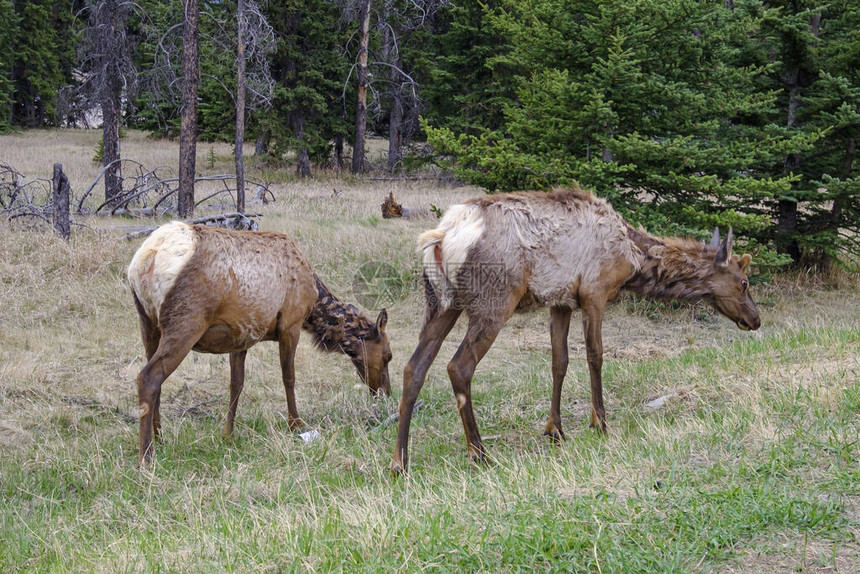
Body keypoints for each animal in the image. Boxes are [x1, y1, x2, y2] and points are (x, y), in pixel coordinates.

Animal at [128, 223, 394, 470]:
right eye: (389, 356)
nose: (386, 394)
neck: (314, 300)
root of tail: (145, 259)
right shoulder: (291, 323)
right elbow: (289, 377)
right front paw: (296, 424)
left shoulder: (241, 335)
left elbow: (236, 384)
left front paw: (228, 433)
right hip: (186, 320)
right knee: (148, 377)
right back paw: (146, 456)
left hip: (147, 323)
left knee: (156, 380)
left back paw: (160, 437)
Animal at [390, 187, 760, 474]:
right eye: (744, 282)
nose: (755, 319)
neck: (635, 259)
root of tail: (440, 237)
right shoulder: (594, 292)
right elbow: (595, 355)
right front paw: (600, 422)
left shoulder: (561, 302)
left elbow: (560, 361)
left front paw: (555, 429)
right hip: (493, 301)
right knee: (458, 366)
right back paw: (479, 452)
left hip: (441, 302)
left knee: (413, 367)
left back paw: (399, 462)